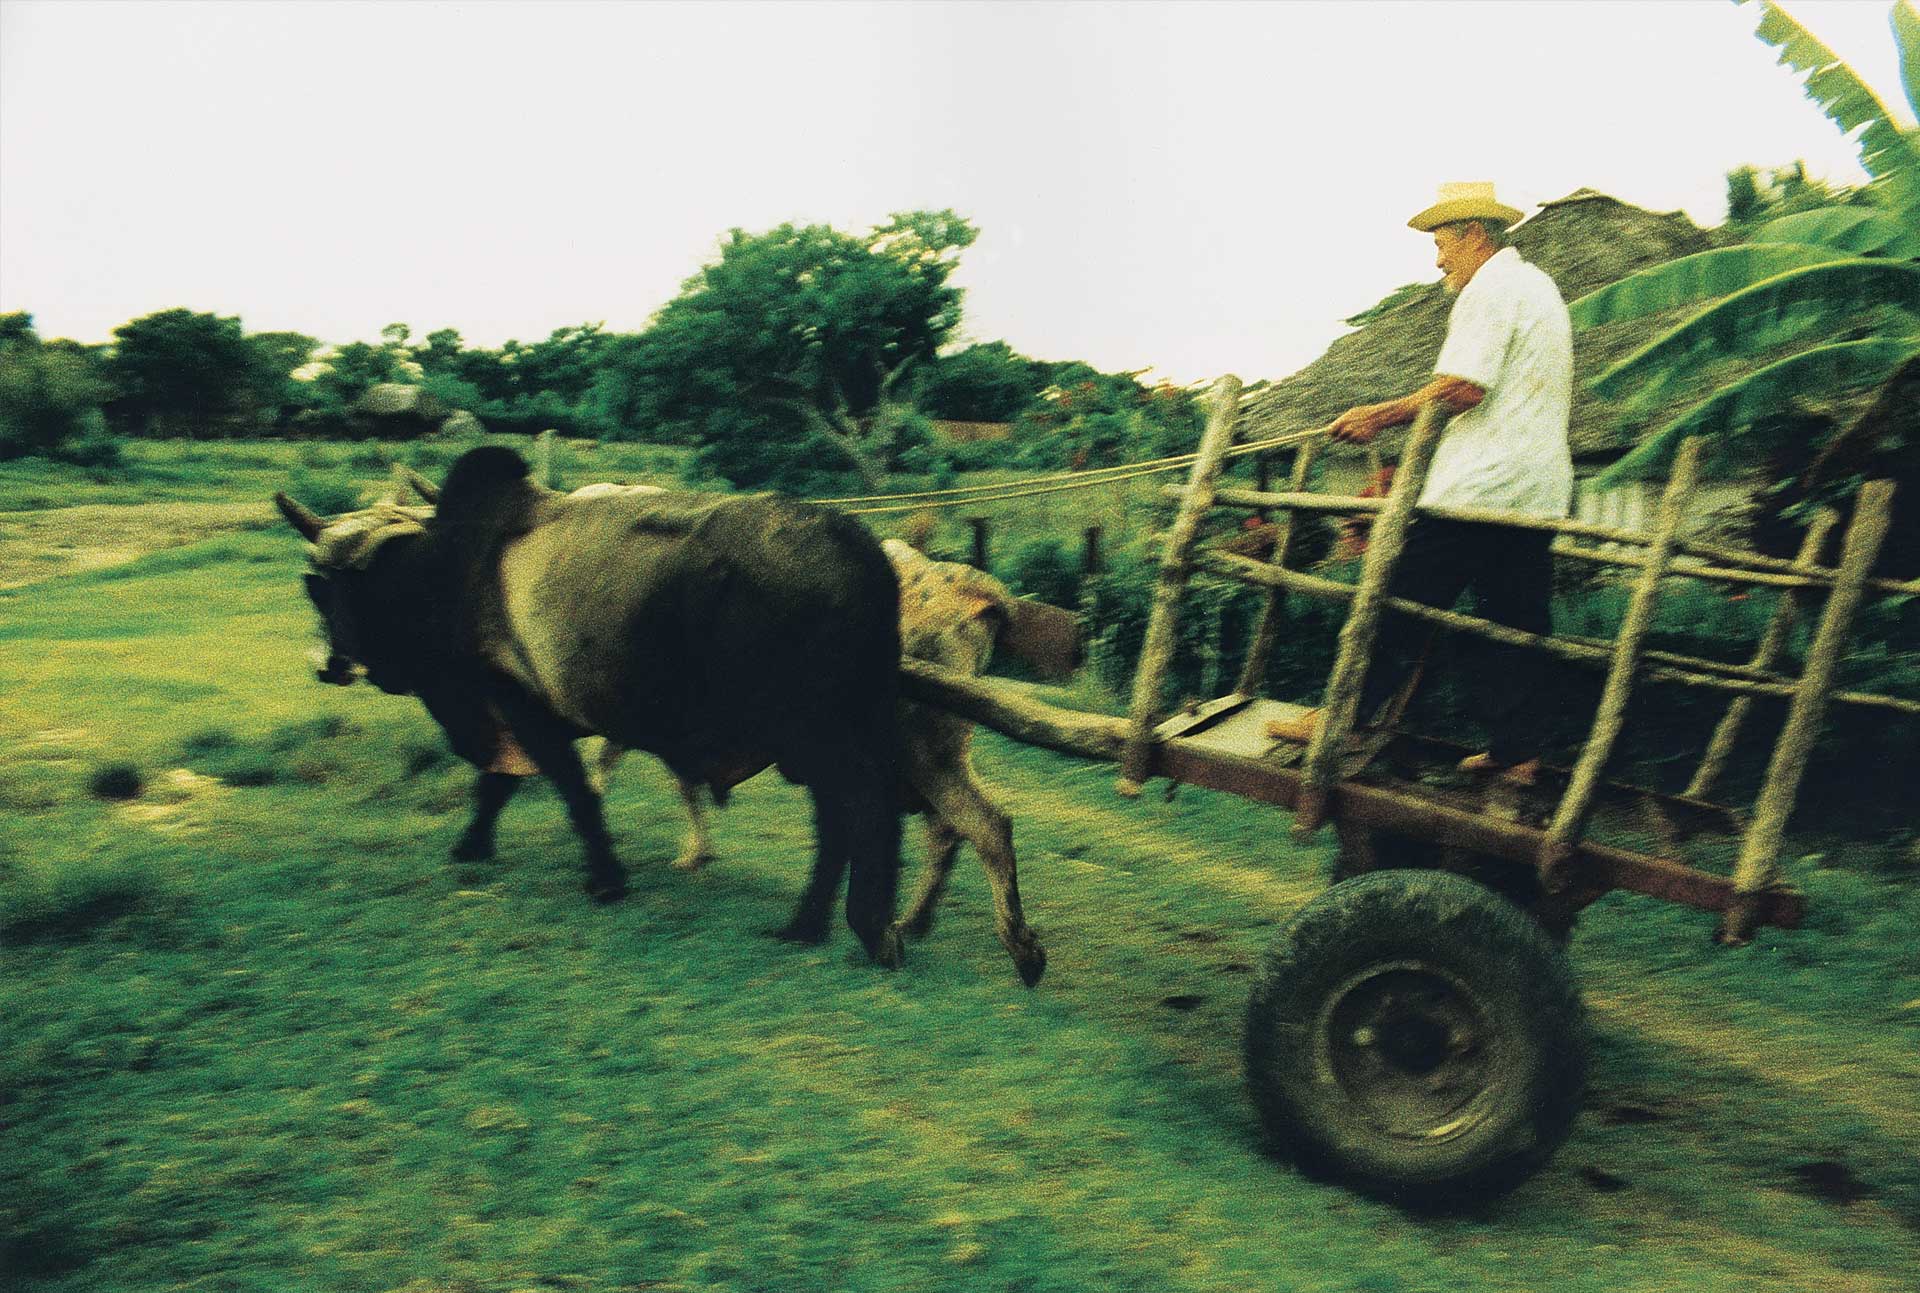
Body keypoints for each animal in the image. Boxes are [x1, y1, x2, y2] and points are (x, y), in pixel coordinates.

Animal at [274, 446, 908, 967]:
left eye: (321, 586)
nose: (329, 665)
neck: (442, 572)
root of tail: (865, 555)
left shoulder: (520, 705)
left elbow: (572, 792)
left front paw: (607, 881)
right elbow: (496, 786)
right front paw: (472, 846)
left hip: (810, 733)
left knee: (859, 807)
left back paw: (850, 929)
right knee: (851, 815)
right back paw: (825, 925)